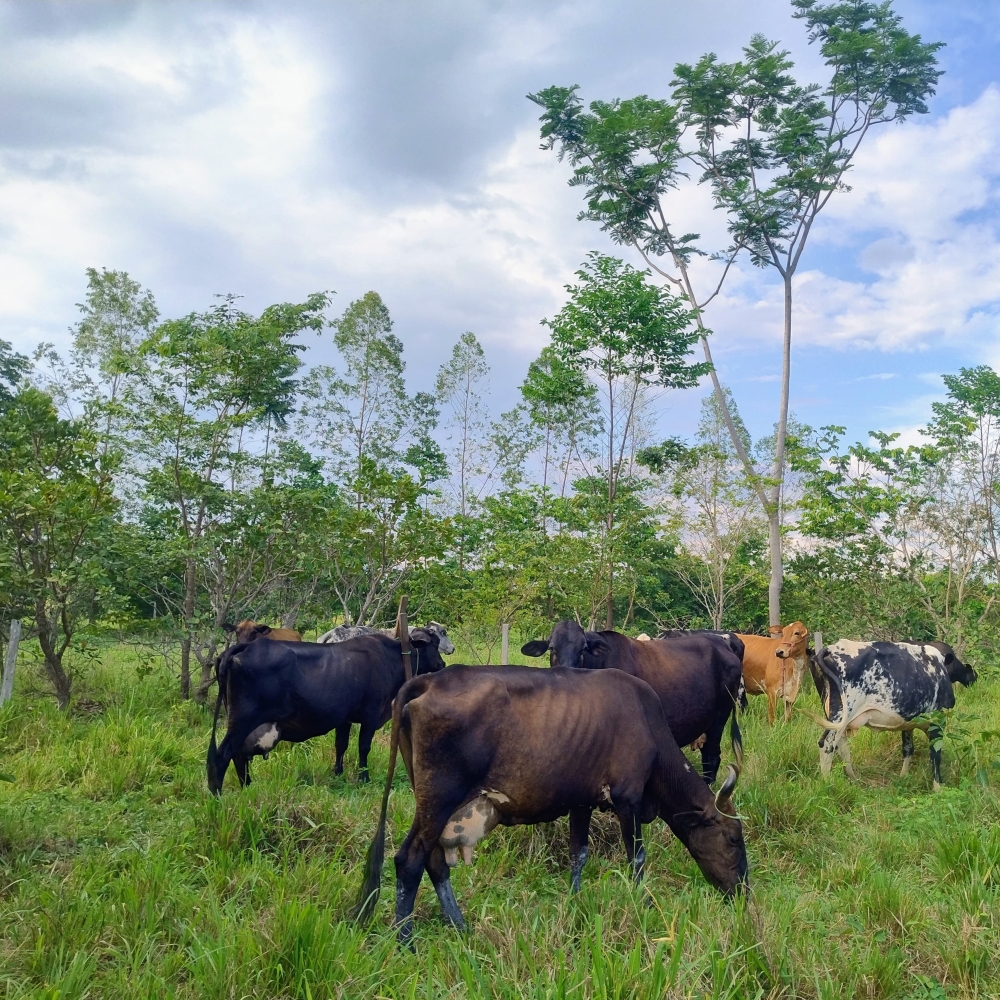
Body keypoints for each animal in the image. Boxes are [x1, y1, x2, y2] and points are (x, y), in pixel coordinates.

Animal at [206, 628, 447, 794]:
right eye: (434, 644)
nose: (442, 665)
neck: (392, 657)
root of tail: (247, 647)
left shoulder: (344, 719)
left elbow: (341, 745)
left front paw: (337, 773)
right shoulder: (370, 716)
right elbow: (363, 748)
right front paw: (364, 778)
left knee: (238, 755)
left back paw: (247, 787)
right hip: (242, 720)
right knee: (222, 755)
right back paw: (218, 794)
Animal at [352, 664, 748, 945]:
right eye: (733, 839)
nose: (743, 892)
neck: (649, 726)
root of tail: (431, 680)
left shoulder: (581, 801)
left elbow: (579, 854)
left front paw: (574, 902)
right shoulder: (628, 798)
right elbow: (636, 858)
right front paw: (644, 904)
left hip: (435, 805)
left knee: (435, 863)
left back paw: (461, 927)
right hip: (439, 799)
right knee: (410, 860)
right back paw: (406, 941)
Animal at [809, 639, 977, 789]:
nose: (972, 679)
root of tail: (831, 648)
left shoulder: (909, 722)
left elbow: (908, 748)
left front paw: (903, 778)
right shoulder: (936, 719)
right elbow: (935, 752)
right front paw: (938, 787)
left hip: (836, 717)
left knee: (841, 747)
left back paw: (854, 779)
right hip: (841, 714)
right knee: (827, 745)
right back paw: (827, 783)